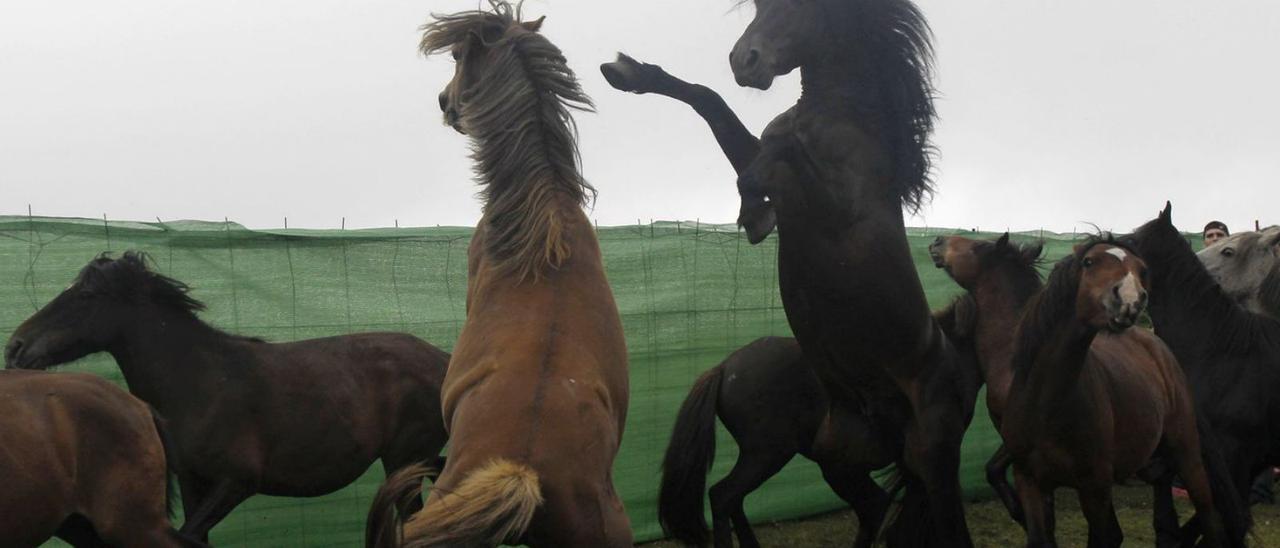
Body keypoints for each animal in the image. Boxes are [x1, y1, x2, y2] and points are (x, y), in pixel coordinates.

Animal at [604, 2, 972, 545]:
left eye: (801, 8)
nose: (744, 61)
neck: (840, 120)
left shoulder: (834, 207)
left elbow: (778, 148)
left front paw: (756, 214)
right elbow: (714, 104)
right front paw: (630, 73)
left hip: (930, 458)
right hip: (844, 458)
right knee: (869, 504)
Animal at [998, 238, 1239, 548]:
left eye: (1142, 270)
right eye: (1089, 262)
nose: (1130, 300)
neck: (1045, 404)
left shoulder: (1095, 487)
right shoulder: (1029, 480)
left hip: (1187, 455)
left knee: (1209, 516)